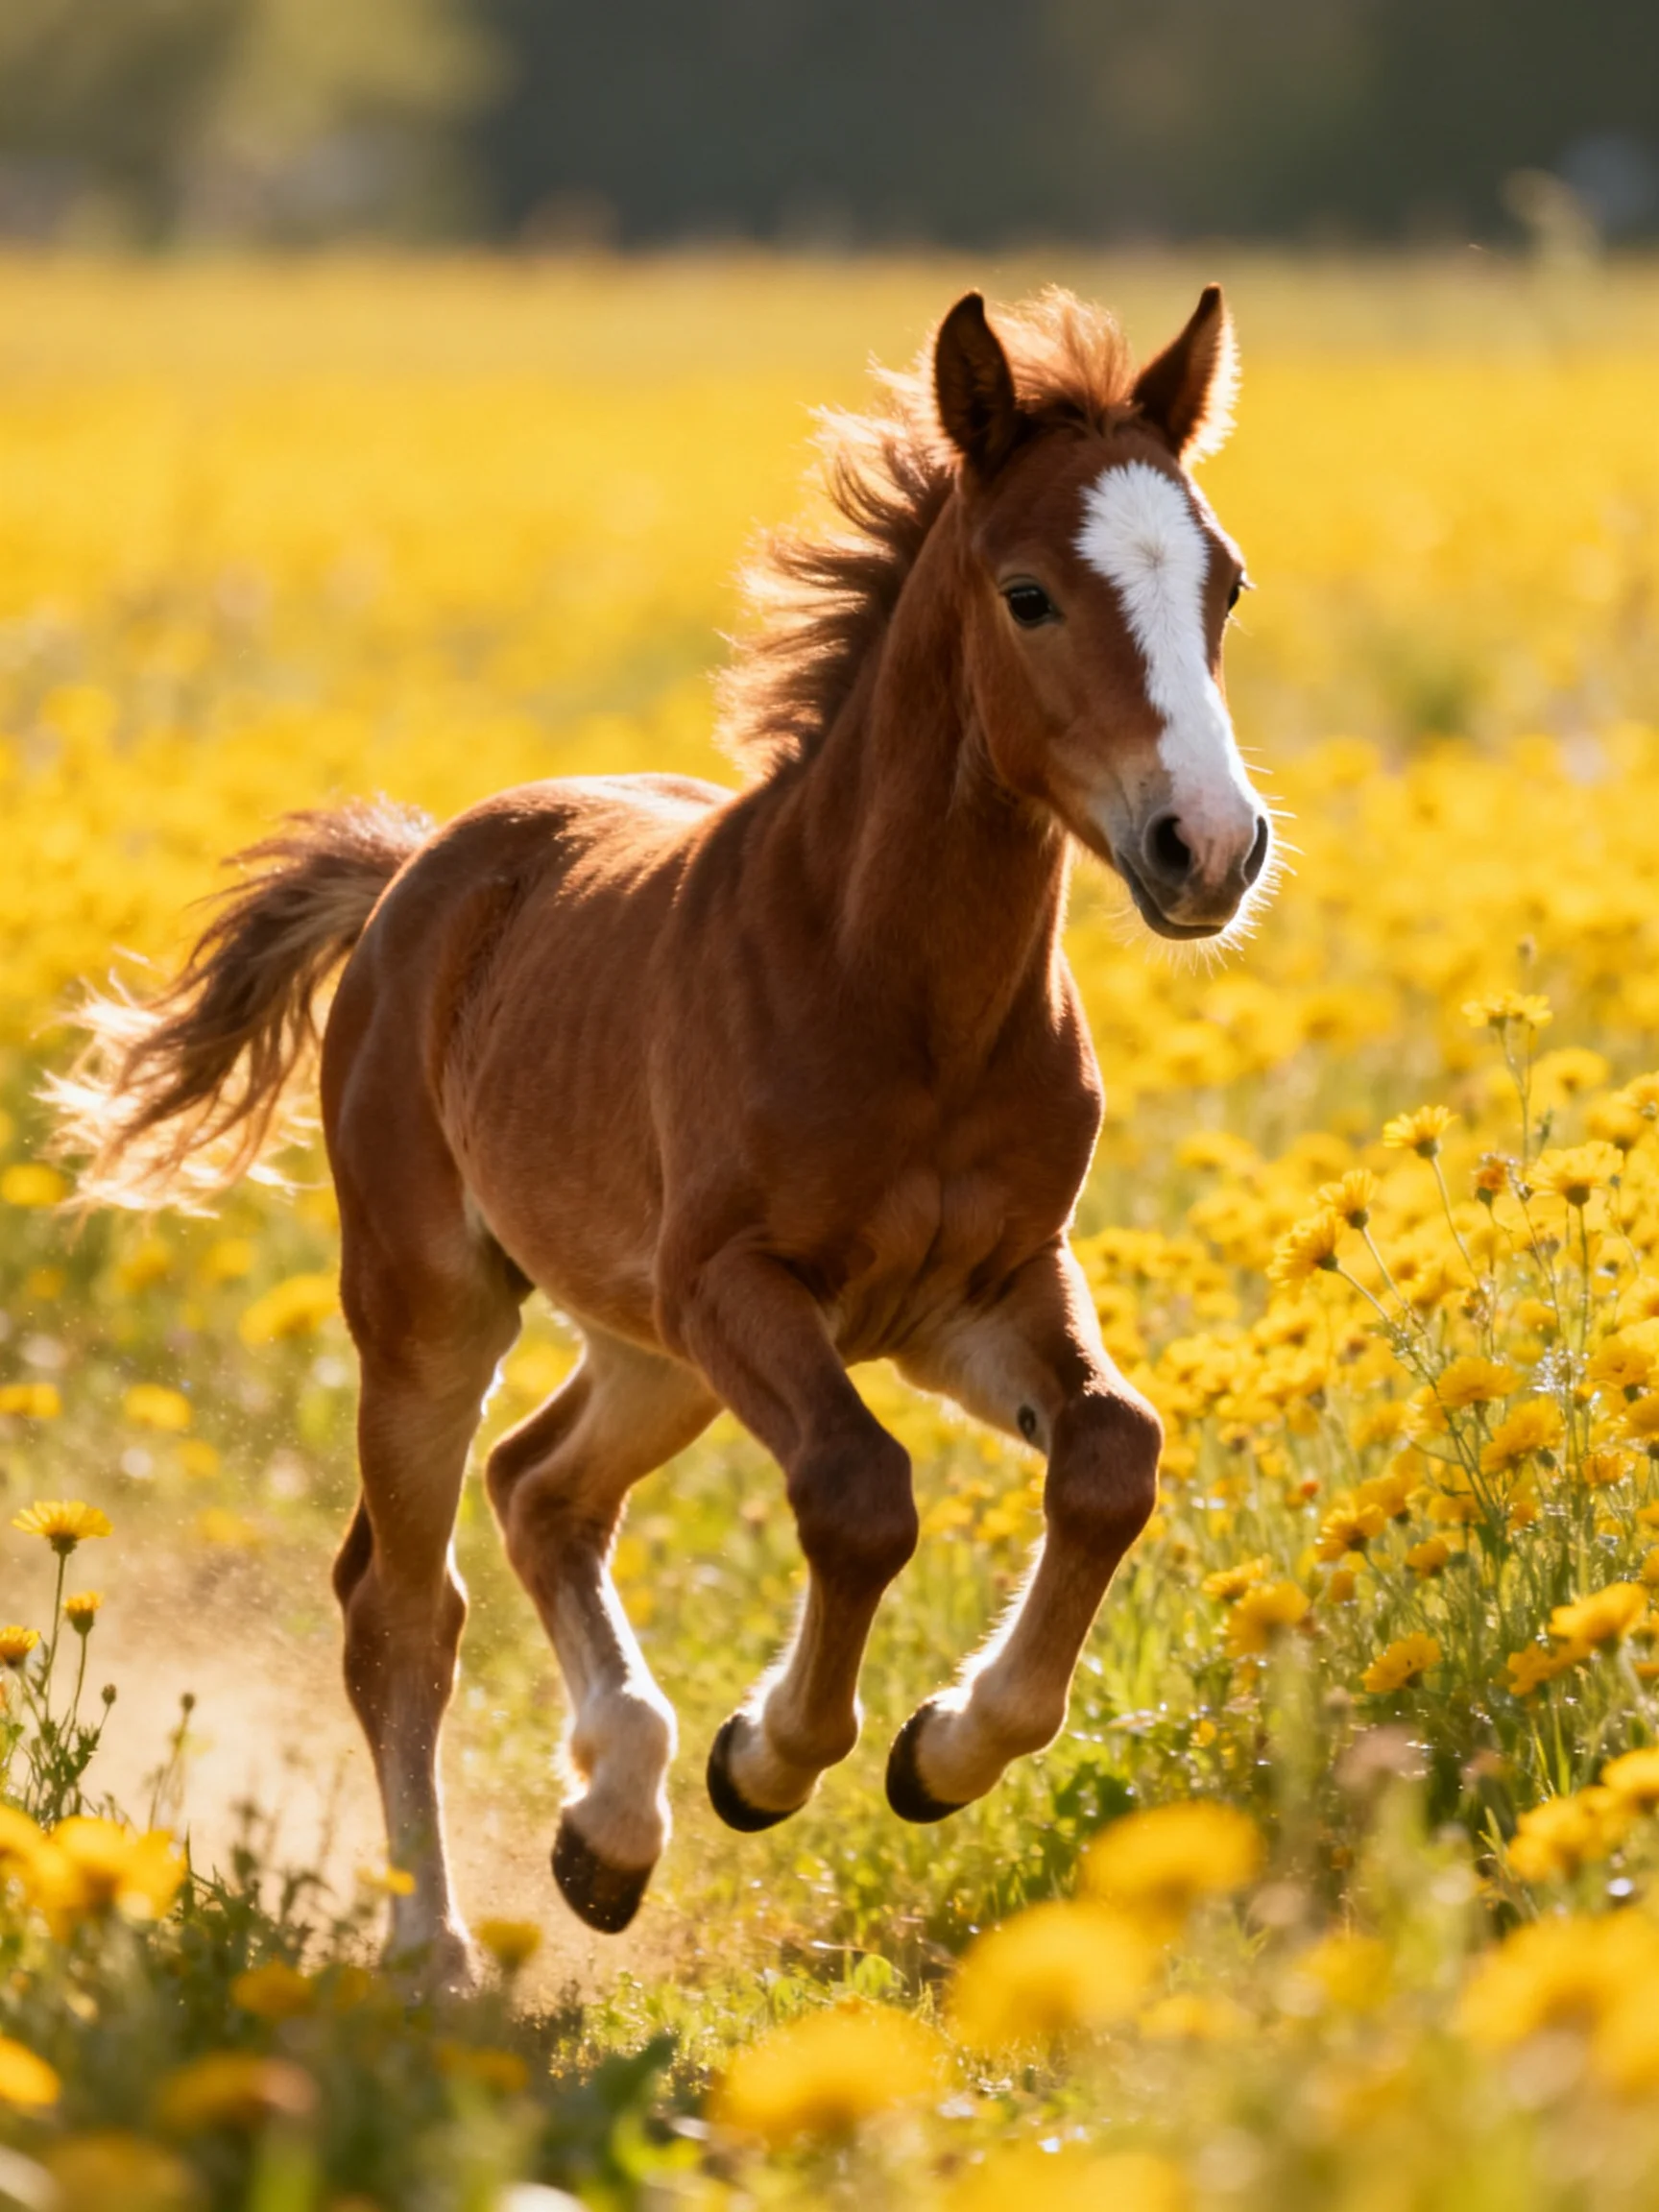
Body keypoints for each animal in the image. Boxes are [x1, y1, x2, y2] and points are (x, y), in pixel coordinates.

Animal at [56, 284, 1276, 1986]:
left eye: (1222, 581)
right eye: (1029, 593)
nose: (1207, 848)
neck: (896, 986)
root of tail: (418, 865)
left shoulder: (980, 1292)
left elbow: (1111, 1455)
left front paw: (938, 1748)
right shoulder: (742, 1285)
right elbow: (859, 1492)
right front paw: (768, 1759)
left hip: (649, 1347)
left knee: (541, 1490)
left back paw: (610, 1828)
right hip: (442, 1307)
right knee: (401, 1603)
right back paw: (435, 1943)